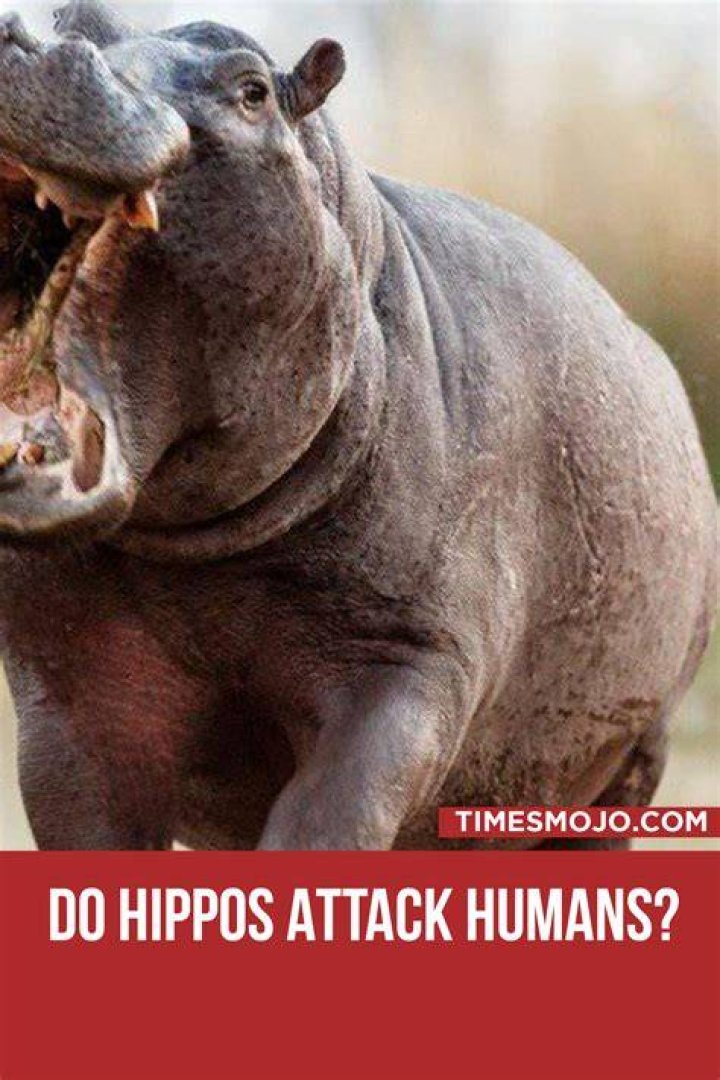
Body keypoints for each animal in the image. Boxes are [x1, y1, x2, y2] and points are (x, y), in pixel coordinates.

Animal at [0, 1, 715, 850]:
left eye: (250, 88)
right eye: (76, 14)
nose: (19, 39)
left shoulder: (403, 664)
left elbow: (325, 822)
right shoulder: (69, 699)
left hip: (631, 763)